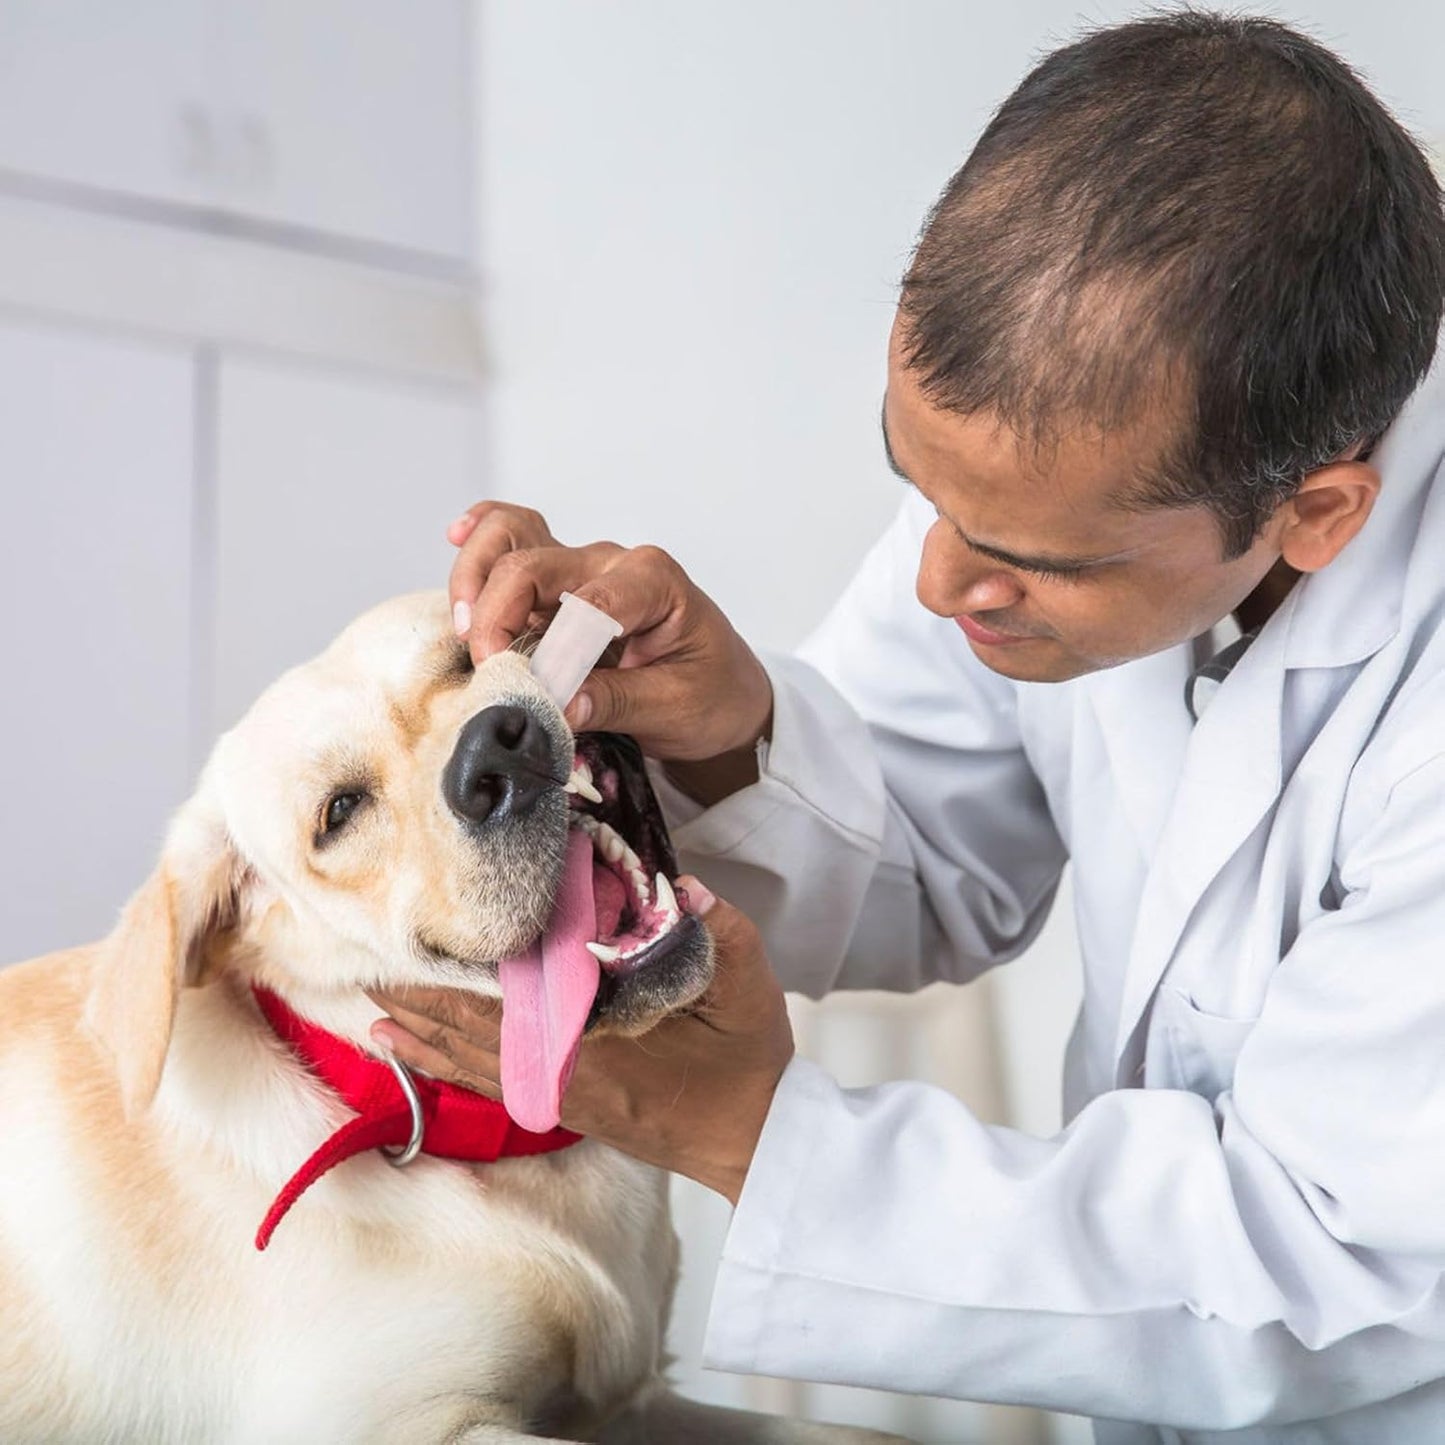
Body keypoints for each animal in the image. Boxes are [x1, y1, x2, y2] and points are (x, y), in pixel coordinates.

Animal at [0, 589, 901, 1445]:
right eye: (339, 810)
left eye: (467, 654)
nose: (496, 755)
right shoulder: (397, 1422)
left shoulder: (634, 1402)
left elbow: (859, 1432)